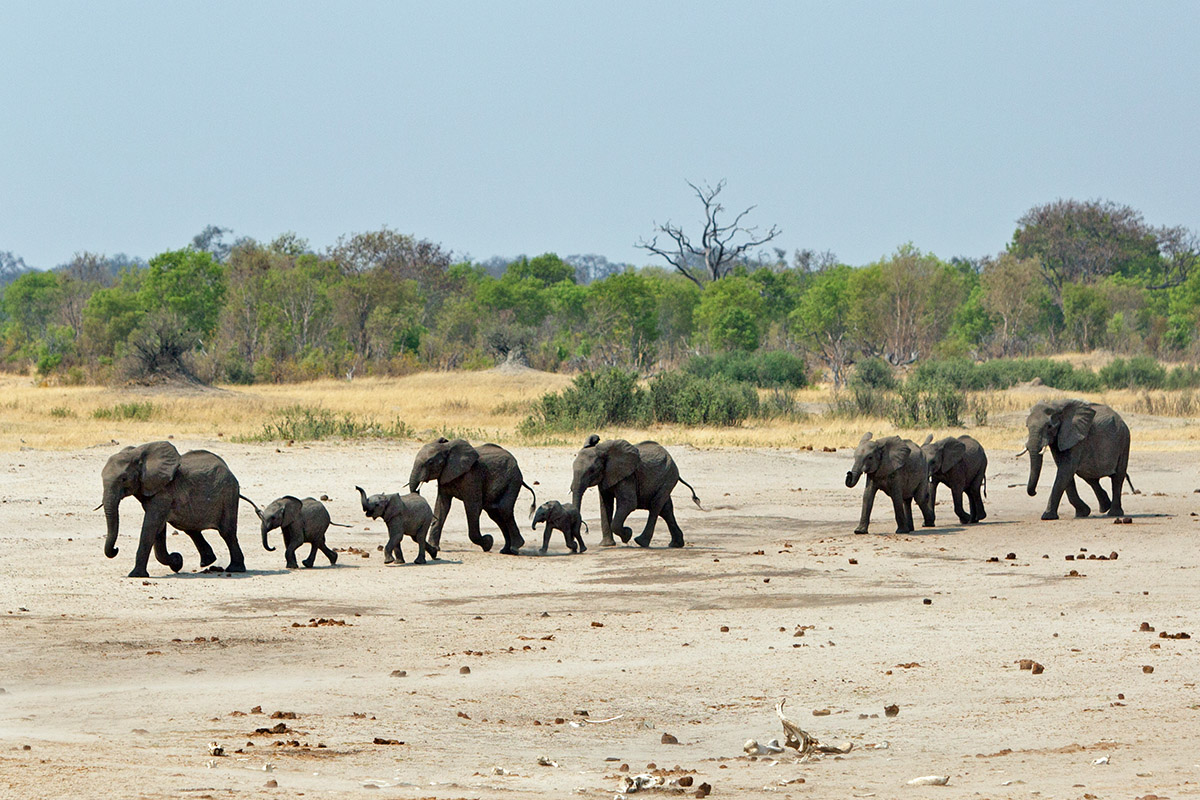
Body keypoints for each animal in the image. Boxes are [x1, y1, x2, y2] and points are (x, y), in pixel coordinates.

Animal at [100, 440, 254, 578]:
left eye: (124, 479)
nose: (116, 549)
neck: (137, 454)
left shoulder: (163, 492)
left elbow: (151, 526)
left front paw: (136, 575)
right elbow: (158, 529)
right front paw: (176, 562)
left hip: (228, 494)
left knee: (227, 532)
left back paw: (235, 569)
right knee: (191, 529)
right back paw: (208, 562)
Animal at [570, 435, 701, 548]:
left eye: (592, 470)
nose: (585, 530)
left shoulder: (628, 476)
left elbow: (629, 504)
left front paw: (627, 534)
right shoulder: (606, 476)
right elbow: (605, 505)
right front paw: (606, 545)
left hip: (669, 476)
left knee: (656, 505)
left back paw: (641, 542)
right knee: (666, 509)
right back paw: (675, 544)